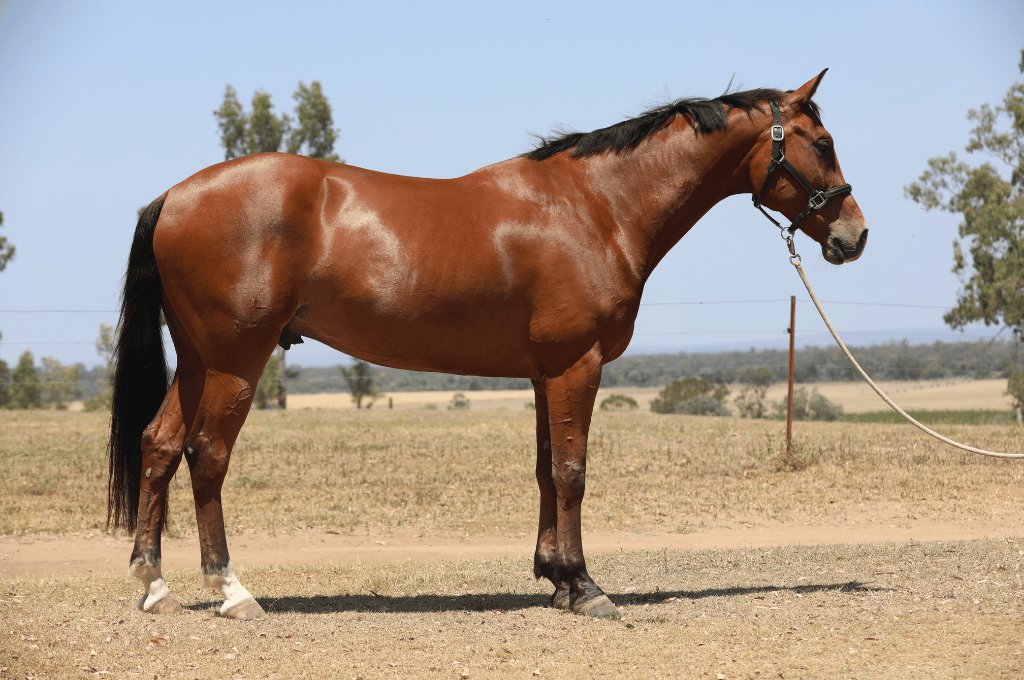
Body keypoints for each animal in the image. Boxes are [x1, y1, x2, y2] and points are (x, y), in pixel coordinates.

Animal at [108, 70, 867, 620]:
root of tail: (173, 197)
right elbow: (572, 472)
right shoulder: (577, 365)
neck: (596, 206)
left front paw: (555, 578)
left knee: (158, 446)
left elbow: (545, 471)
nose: (854, 236)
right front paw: (586, 589)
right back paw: (233, 593)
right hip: (236, 360)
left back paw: (153, 585)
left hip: (197, 360)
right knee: (208, 456)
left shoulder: (544, 373)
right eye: (822, 142)